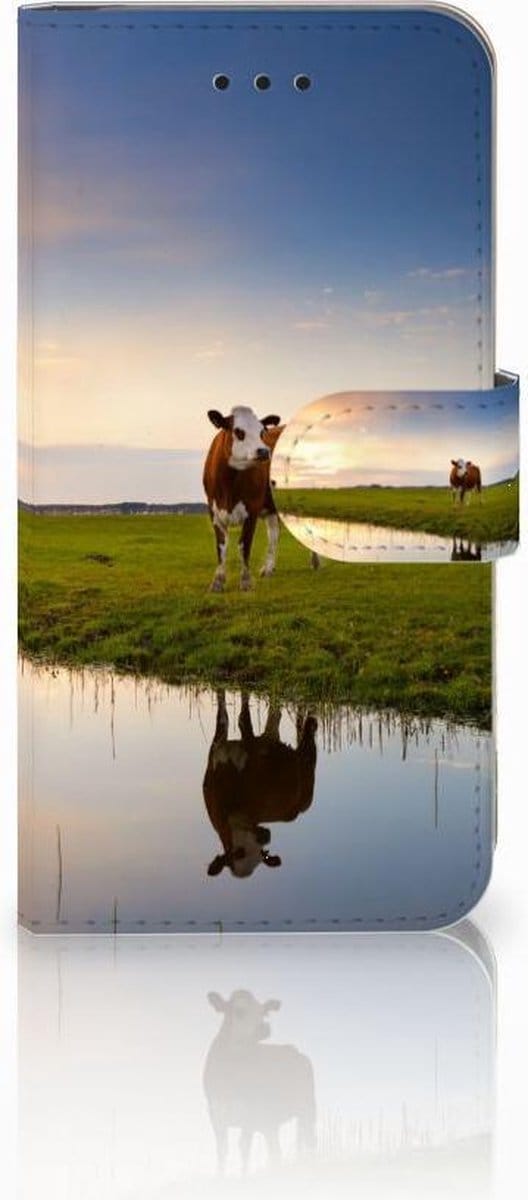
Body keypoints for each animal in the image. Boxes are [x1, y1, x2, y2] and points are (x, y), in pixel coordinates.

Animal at [203, 406, 319, 591]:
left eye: (262, 432)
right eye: (238, 431)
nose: (264, 451)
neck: (229, 486)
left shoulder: (252, 509)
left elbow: (244, 545)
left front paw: (245, 581)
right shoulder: (214, 511)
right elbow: (221, 546)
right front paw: (217, 582)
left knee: (309, 528)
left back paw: (315, 562)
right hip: (271, 507)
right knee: (274, 533)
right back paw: (268, 568)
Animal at [203, 690, 317, 878]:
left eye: (262, 853)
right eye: (238, 853)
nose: (265, 836)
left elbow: (243, 718)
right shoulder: (216, 749)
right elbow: (223, 714)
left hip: (307, 778)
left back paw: (311, 721)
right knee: (276, 720)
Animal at [204, 989, 316, 1173]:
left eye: (263, 1012)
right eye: (239, 1010)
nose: (264, 1027)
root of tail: (295, 1050)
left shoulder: (250, 1114)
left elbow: (244, 1148)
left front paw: (244, 1176)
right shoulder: (216, 1114)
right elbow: (222, 1151)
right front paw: (220, 1177)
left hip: (308, 1108)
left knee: (310, 1140)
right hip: (270, 1122)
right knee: (276, 1151)